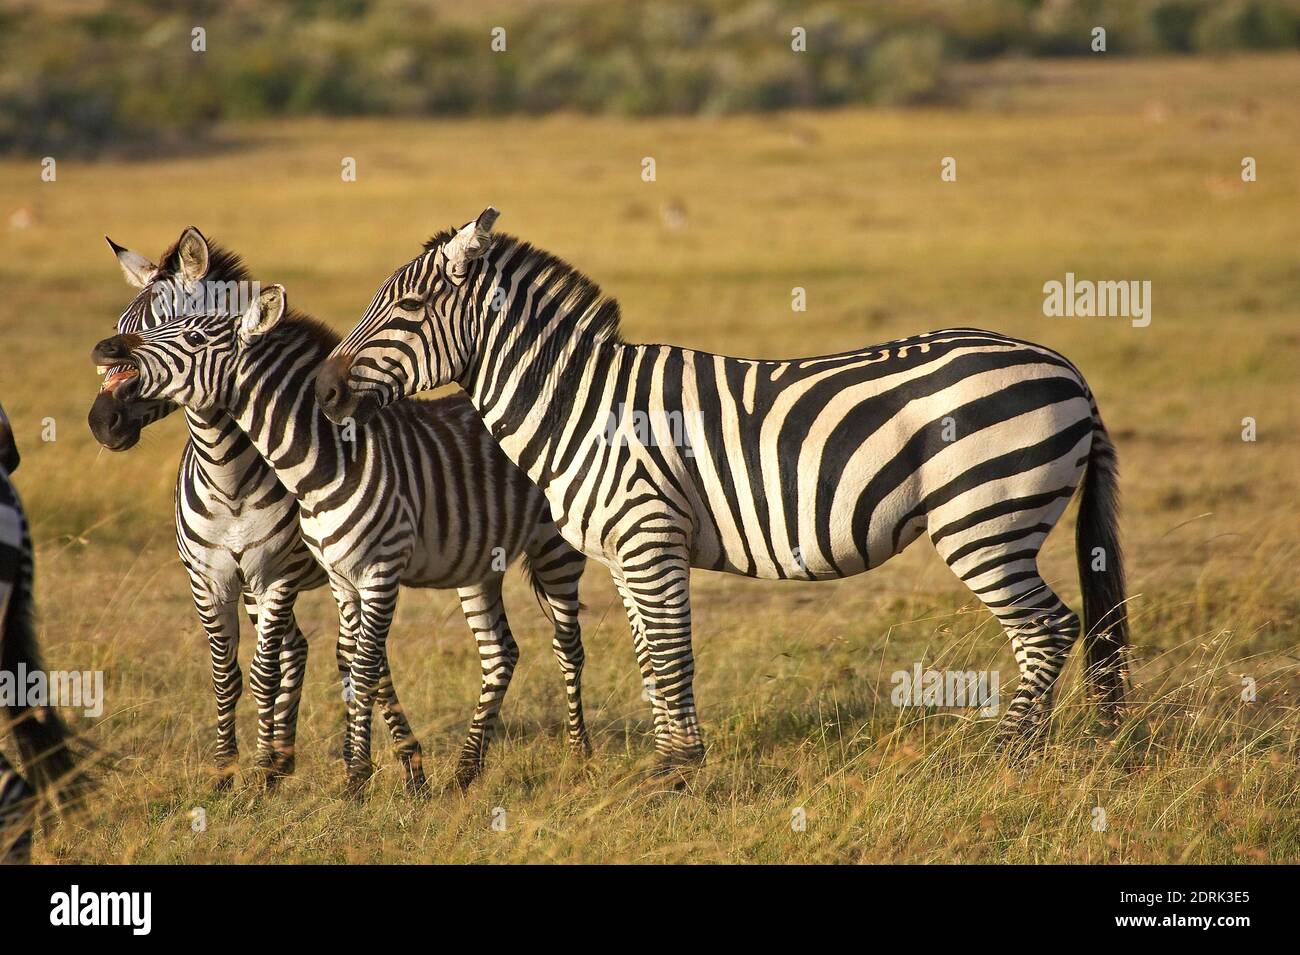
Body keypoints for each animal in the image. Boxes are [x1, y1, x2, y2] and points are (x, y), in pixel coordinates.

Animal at [94, 227, 592, 789]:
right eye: (123, 326)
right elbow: (247, 670)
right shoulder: (235, 577)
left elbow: (313, 668)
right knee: (499, 653)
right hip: (477, 563)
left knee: (567, 645)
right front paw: (237, 771)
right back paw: (465, 769)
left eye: (180, 327)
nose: (103, 420)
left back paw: (576, 758)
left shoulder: (313, 573)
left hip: (556, 550)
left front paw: (295, 774)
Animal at [312, 205, 1128, 774]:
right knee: (1057, 630)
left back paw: (1008, 755)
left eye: (406, 309)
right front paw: (668, 762)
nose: (322, 390)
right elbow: (650, 659)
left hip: (985, 517)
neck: (582, 405)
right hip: (997, 519)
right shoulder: (626, 554)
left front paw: (678, 773)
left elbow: (671, 657)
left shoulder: (650, 539)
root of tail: (1069, 369)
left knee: (1047, 628)